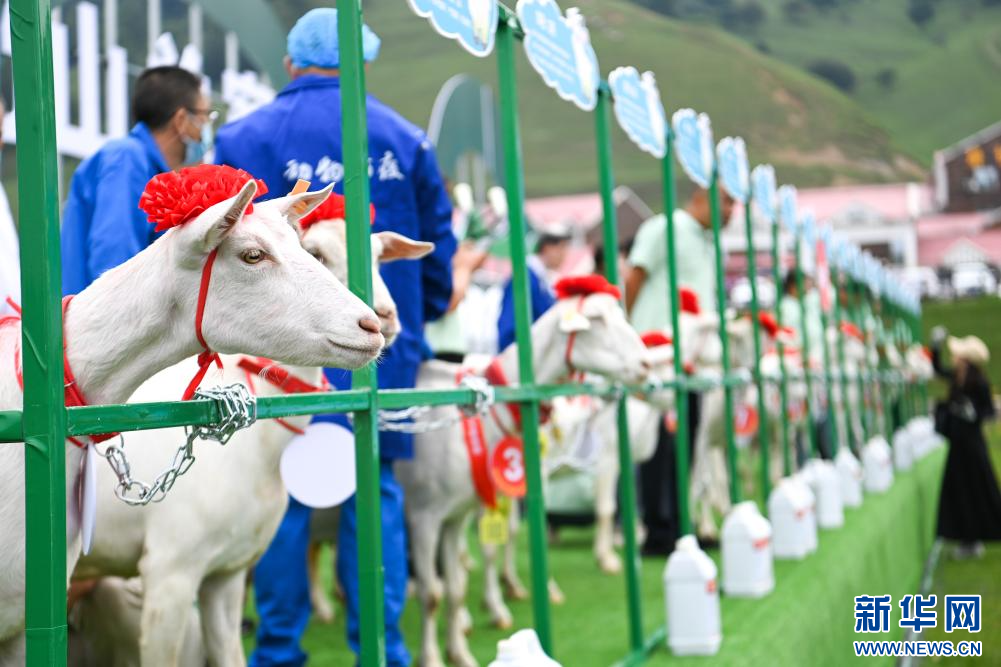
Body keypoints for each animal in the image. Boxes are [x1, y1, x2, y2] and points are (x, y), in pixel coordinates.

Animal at [69, 217, 430, 660]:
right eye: (315, 252)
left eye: (378, 256)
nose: (379, 322)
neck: (257, 450)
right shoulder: (169, 572)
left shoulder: (229, 569)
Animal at [398, 290, 648, 664]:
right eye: (596, 320)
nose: (645, 364)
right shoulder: (423, 515)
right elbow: (433, 594)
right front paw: (432, 657)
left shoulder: (456, 515)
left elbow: (457, 587)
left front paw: (460, 651)